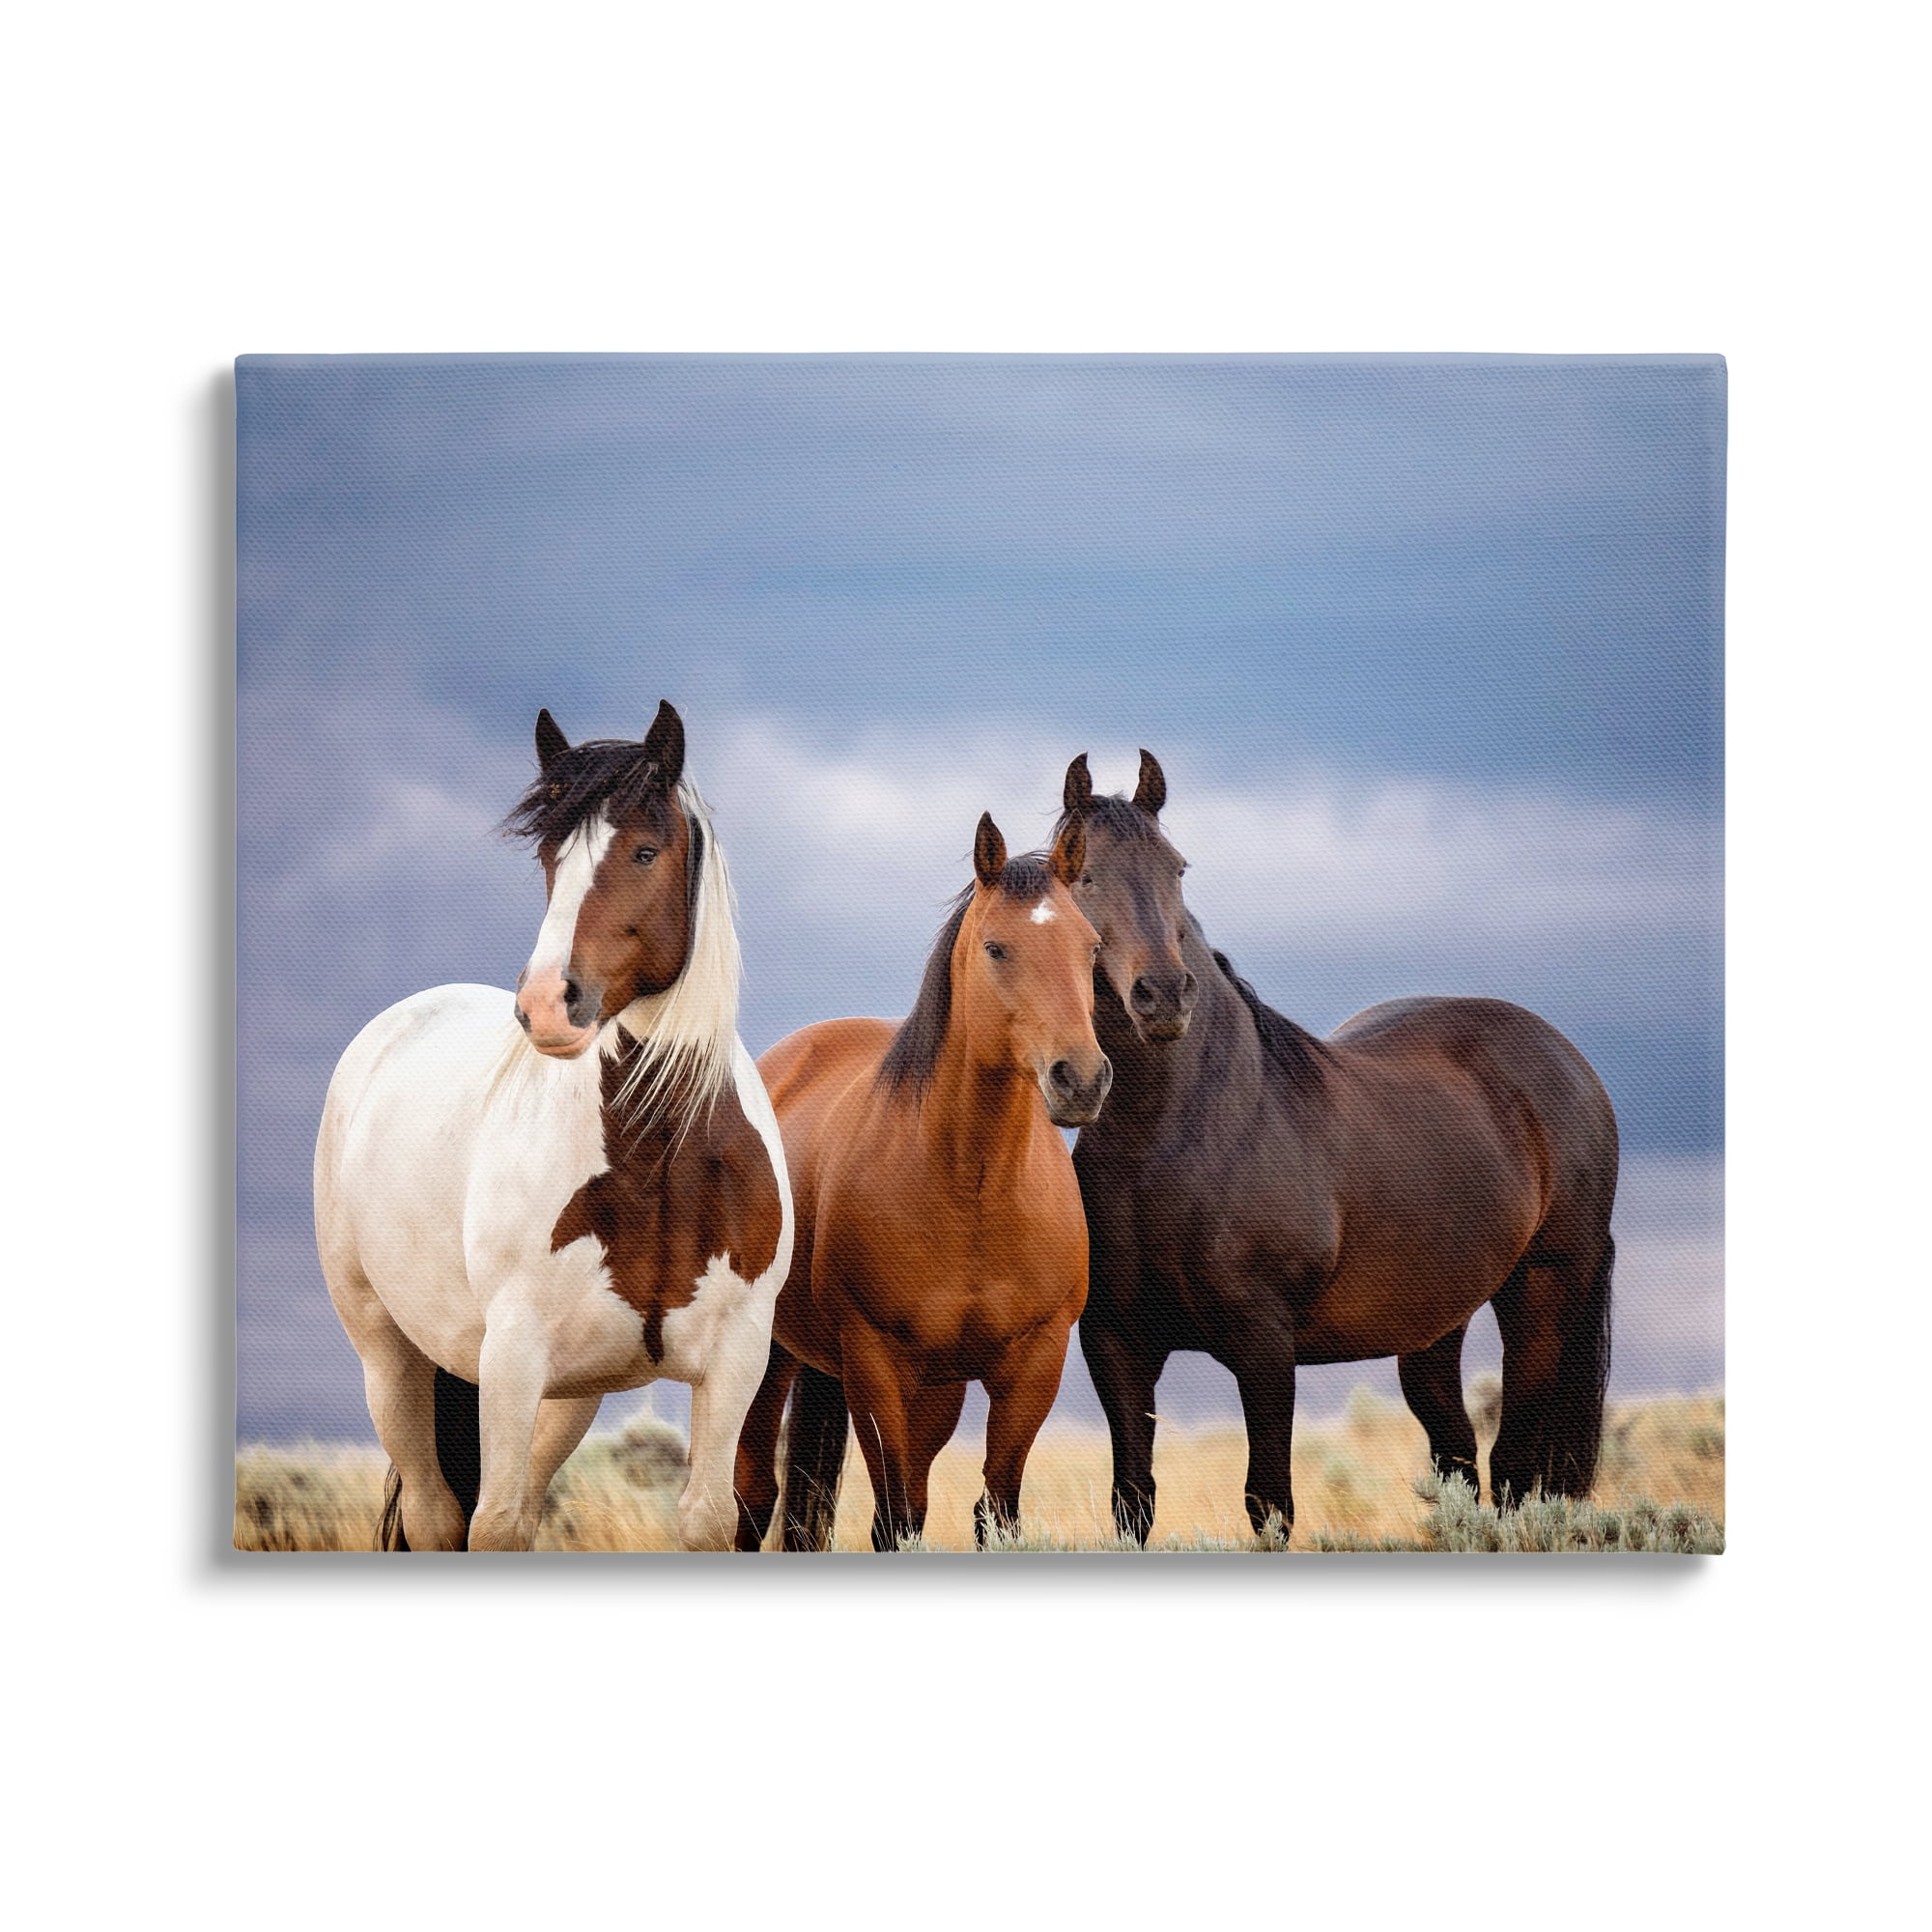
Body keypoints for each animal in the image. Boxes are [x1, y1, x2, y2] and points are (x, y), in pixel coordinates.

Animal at [313, 701, 793, 1550]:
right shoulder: (512, 1357)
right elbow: (495, 1523)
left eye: (644, 850)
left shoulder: (736, 1360)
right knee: (439, 1516)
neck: (658, 1153)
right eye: (548, 855)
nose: (544, 1003)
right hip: (393, 1360)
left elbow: (708, 1518)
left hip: (566, 1398)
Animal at [731, 810, 1107, 1550]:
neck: (973, 1188)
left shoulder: (1034, 1365)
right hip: (770, 1356)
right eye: (996, 948)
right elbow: (894, 1518)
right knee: (754, 1498)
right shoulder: (875, 1364)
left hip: (931, 1388)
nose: (1080, 1078)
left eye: (1091, 948)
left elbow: (996, 1510)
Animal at [1054, 750, 1619, 1543]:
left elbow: (1269, 1504)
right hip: (1433, 1327)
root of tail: (1566, 1060)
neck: (1169, 1139)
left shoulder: (1264, 1348)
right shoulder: (1116, 1346)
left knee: (1513, 1471)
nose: (1163, 996)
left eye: (1178, 867)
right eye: (1081, 874)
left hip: (1542, 1291)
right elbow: (1133, 1503)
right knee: (1458, 1461)